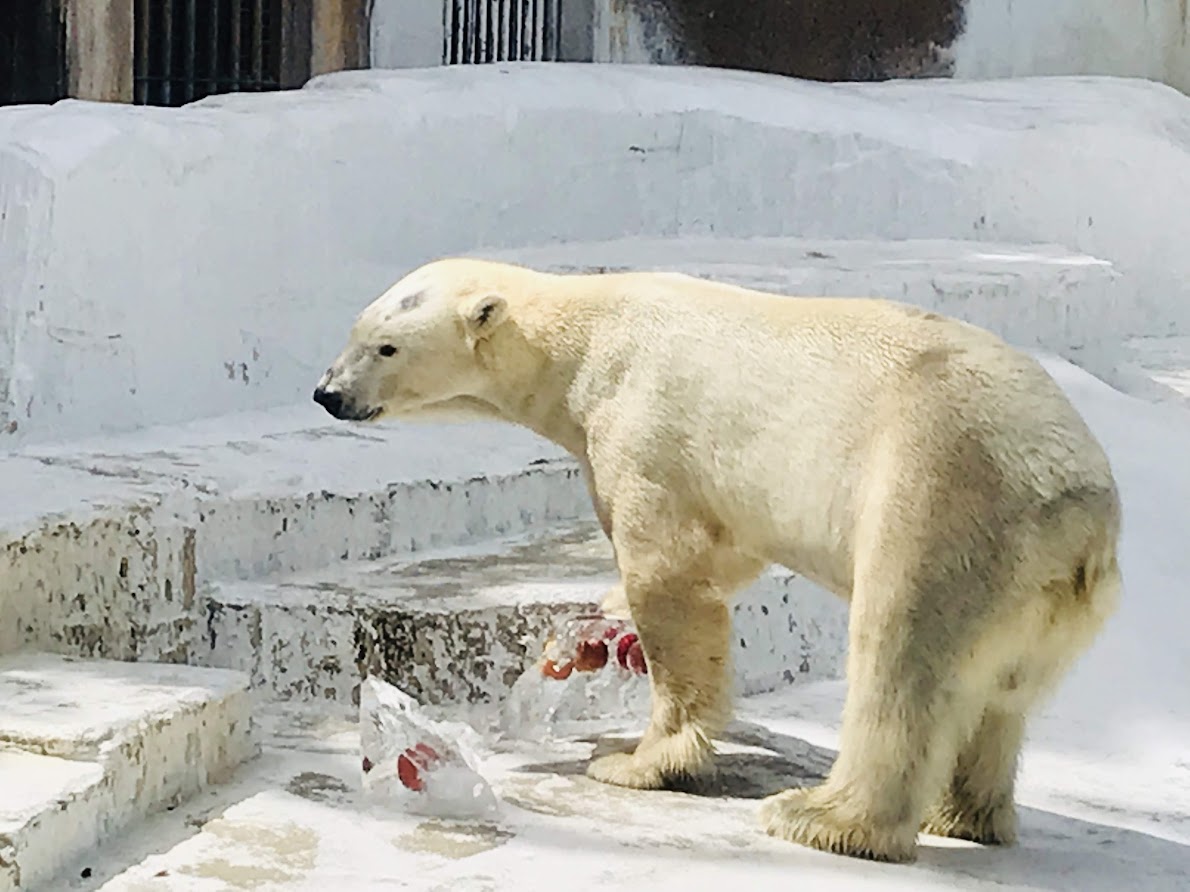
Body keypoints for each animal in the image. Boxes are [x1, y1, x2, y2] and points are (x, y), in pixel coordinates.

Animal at [311, 258, 1118, 865]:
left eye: (385, 348)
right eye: (354, 333)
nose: (328, 393)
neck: (585, 337)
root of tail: (1082, 512)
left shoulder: (639, 424)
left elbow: (669, 572)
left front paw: (639, 760)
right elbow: (725, 553)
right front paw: (600, 630)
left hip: (942, 502)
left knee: (901, 662)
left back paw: (823, 817)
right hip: (1035, 589)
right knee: (1000, 698)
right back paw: (963, 814)